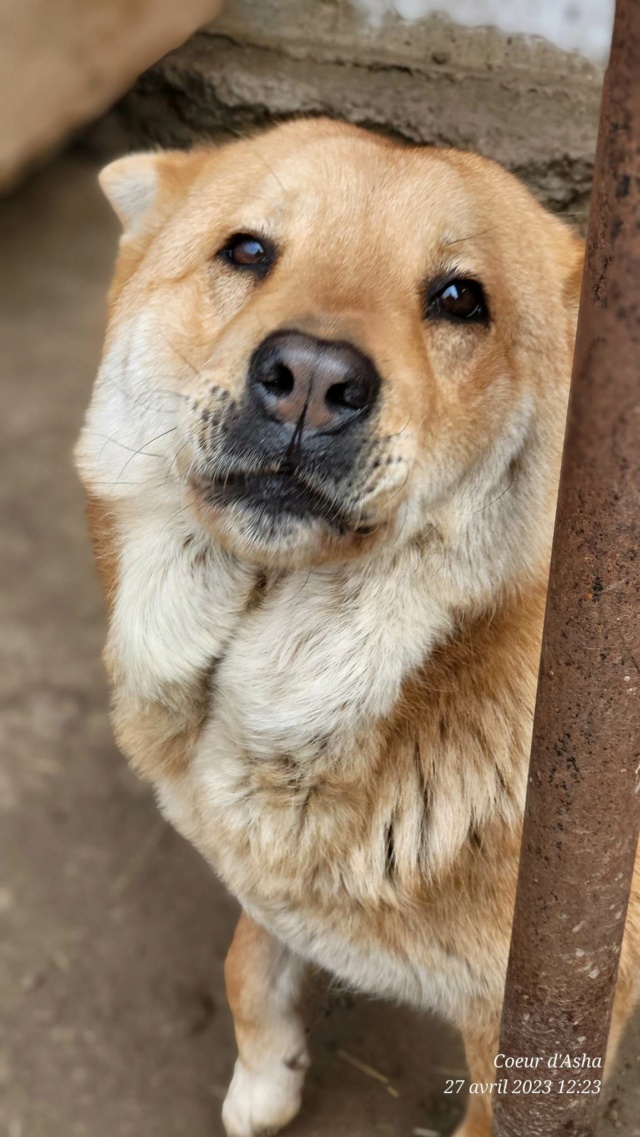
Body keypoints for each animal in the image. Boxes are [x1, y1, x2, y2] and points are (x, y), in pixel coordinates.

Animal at [76, 122, 640, 1137]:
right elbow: (246, 960)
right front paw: (265, 1076)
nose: (309, 377)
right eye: (247, 251)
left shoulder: (543, 1017)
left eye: (460, 298)